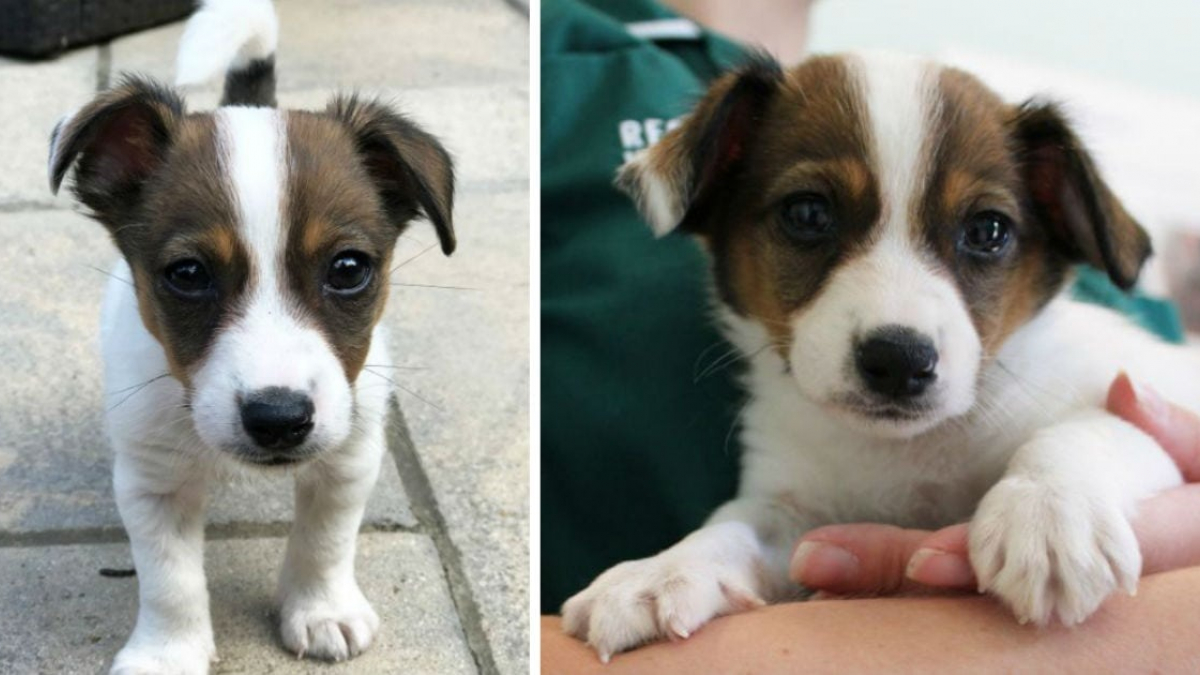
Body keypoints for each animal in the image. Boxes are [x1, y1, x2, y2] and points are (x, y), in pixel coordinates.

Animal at [44, 2, 451, 667]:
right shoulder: (153, 480)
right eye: (187, 274)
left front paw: (321, 608)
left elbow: (324, 541)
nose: (279, 419)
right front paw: (168, 654)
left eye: (348, 269)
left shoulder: (349, 454)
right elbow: (171, 580)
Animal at [561, 51, 1200, 658]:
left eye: (988, 231)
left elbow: (1085, 431)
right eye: (808, 213)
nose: (899, 360)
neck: (908, 453)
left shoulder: (1147, 402)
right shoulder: (795, 510)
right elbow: (732, 526)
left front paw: (1048, 513)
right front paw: (660, 570)